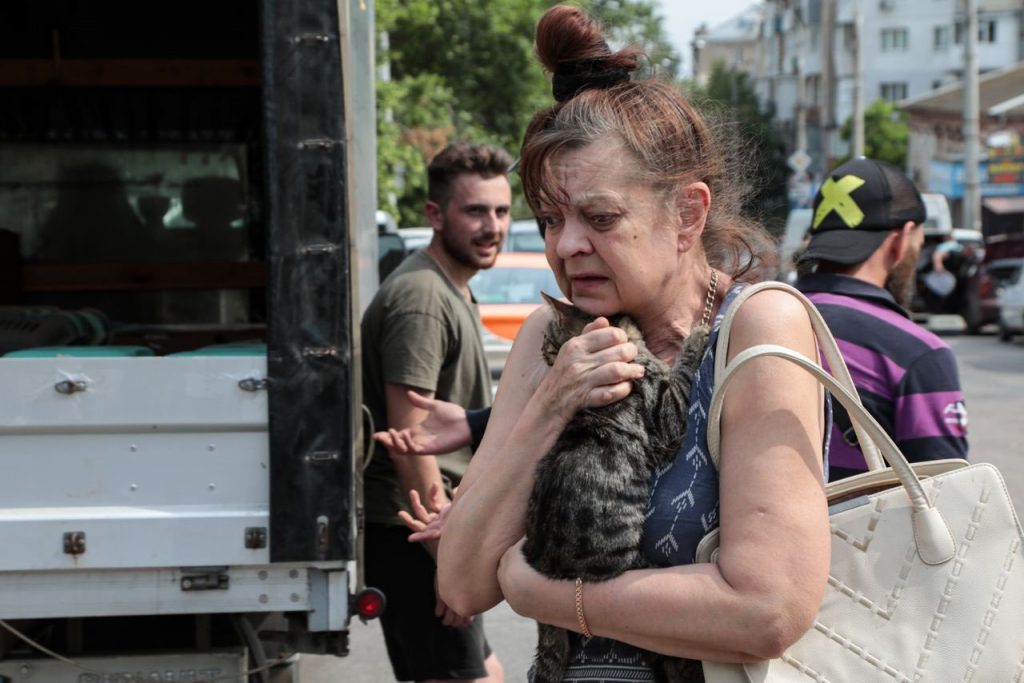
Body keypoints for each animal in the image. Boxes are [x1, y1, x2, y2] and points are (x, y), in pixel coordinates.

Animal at [524, 294, 708, 683]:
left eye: (549, 344)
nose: (547, 359)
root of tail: (544, 562)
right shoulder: (668, 417)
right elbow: (682, 373)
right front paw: (697, 337)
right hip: (631, 568)